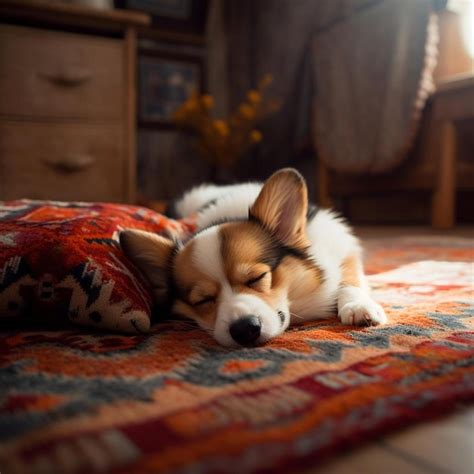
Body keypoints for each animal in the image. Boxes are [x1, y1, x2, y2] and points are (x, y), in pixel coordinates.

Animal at [120, 168, 386, 346]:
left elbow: (349, 279)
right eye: (203, 300)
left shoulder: (342, 246)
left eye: (256, 278)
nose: (244, 329)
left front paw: (358, 306)